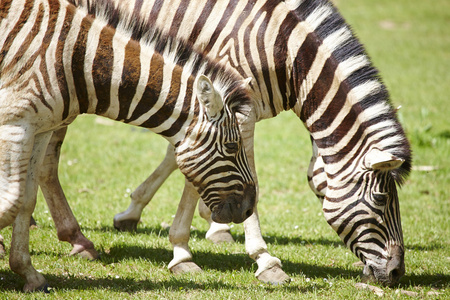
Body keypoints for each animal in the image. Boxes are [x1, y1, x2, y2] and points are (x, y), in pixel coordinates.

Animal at [0, 0, 256, 292]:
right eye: (232, 146)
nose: (250, 208)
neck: (77, 59)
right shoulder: (16, 123)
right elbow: (11, 202)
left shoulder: (40, 128)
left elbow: (26, 201)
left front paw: (28, 273)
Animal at [25, 0, 412, 288]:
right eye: (381, 199)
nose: (396, 274)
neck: (283, 50)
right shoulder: (235, 106)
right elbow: (228, 173)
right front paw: (260, 259)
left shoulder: (214, 105)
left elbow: (184, 160)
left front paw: (143, 213)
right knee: (47, 161)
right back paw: (73, 237)